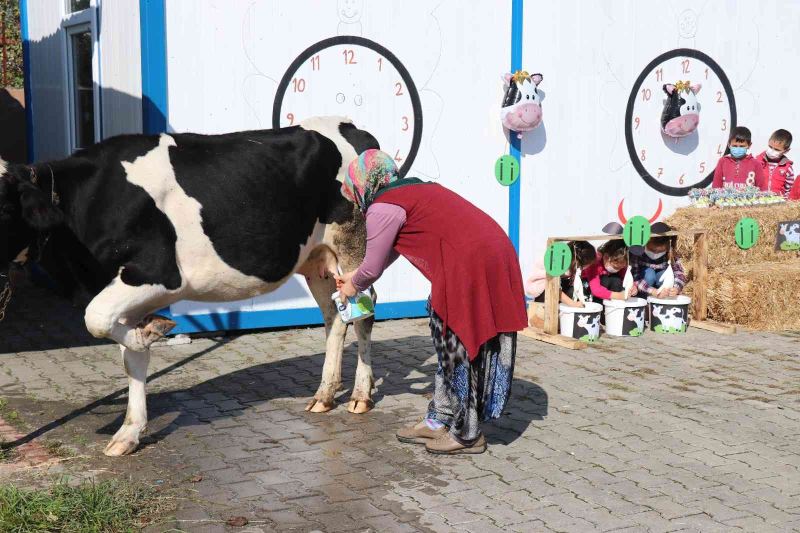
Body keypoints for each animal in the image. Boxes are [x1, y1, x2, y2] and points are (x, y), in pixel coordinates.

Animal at [0, 115, 380, 454]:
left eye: (5, 206)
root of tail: (352, 128)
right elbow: (130, 357)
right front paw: (129, 431)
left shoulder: (158, 273)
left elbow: (96, 319)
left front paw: (150, 332)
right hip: (316, 259)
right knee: (334, 315)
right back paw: (324, 395)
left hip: (354, 243)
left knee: (364, 309)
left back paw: (360, 396)